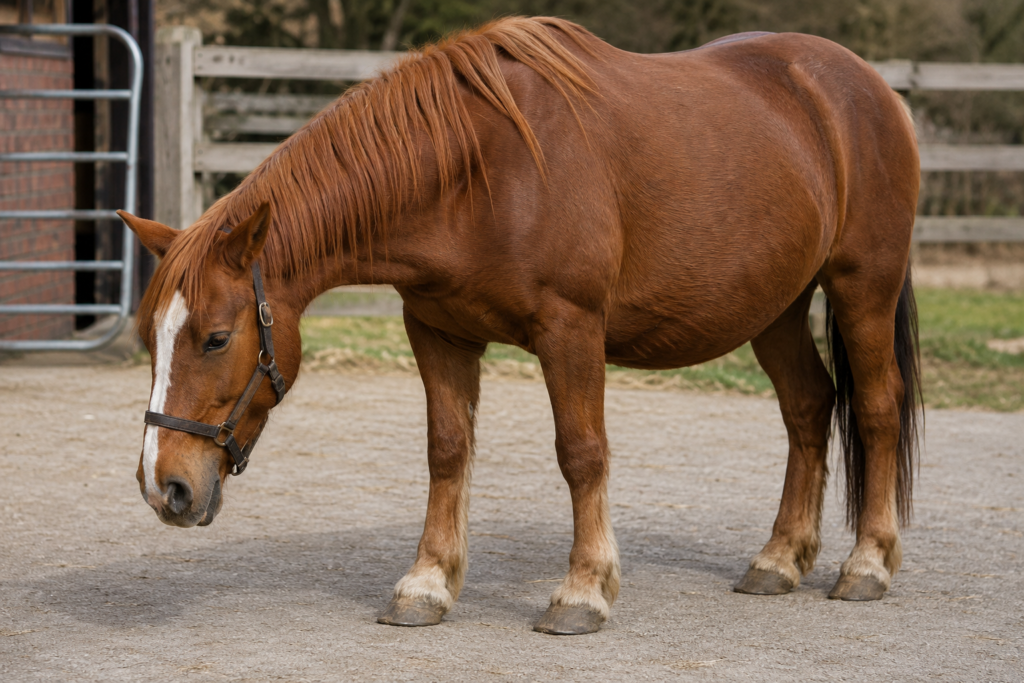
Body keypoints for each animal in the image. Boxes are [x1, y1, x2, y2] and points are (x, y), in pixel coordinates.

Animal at [118, 16, 921, 635]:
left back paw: (868, 563)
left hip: (862, 288)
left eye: (217, 338)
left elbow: (582, 453)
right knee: (808, 408)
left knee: (877, 409)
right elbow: (446, 452)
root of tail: (866, 86)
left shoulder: (571, 331)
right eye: (148, 339)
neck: (476, 171)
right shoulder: (436, 332)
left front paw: (583, 591)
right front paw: (427, 584)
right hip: (776, 308)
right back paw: (779, 559)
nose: (165, 488)